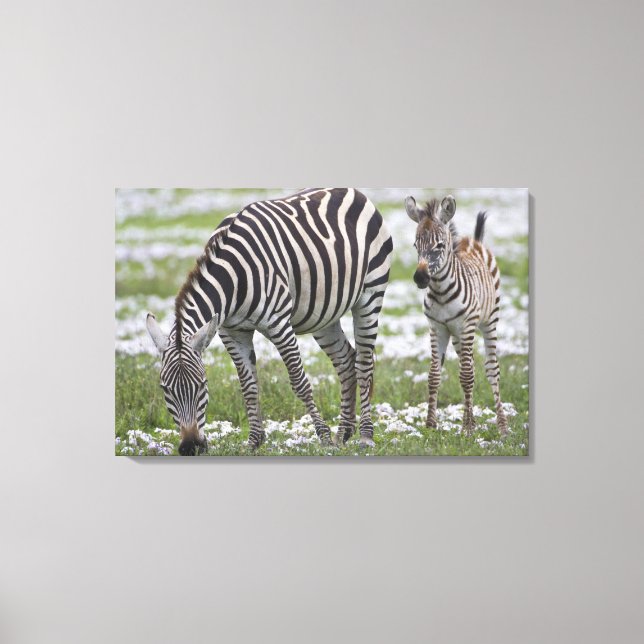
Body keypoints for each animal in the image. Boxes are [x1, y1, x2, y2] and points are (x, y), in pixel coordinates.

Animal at [146, 188, 393, 455]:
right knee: (346, 360)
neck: (234, 279)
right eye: (165, 389)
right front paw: (254, 441)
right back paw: (343, 433)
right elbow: (248, 386)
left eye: (203, 384)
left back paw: (365, 436)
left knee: (363, 363)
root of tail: (350, 191)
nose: (191, 447)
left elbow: (299, 381)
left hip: (370, 293)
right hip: (325, 314)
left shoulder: (278, 323)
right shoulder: (232, 331)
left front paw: (324, 437)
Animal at [405, 194, 508, 436]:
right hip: (458, 336)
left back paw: (502, 426)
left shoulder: (466, 326)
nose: (420, 278)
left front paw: (467, 430)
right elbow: (434, 375)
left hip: (488, 322)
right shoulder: (437, 328)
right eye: (415, 245)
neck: (441, 293)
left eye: (440, 245)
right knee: (469, 364)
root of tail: (474, 241)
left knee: (491, 369)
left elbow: (467, 376)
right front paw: (430, 425)